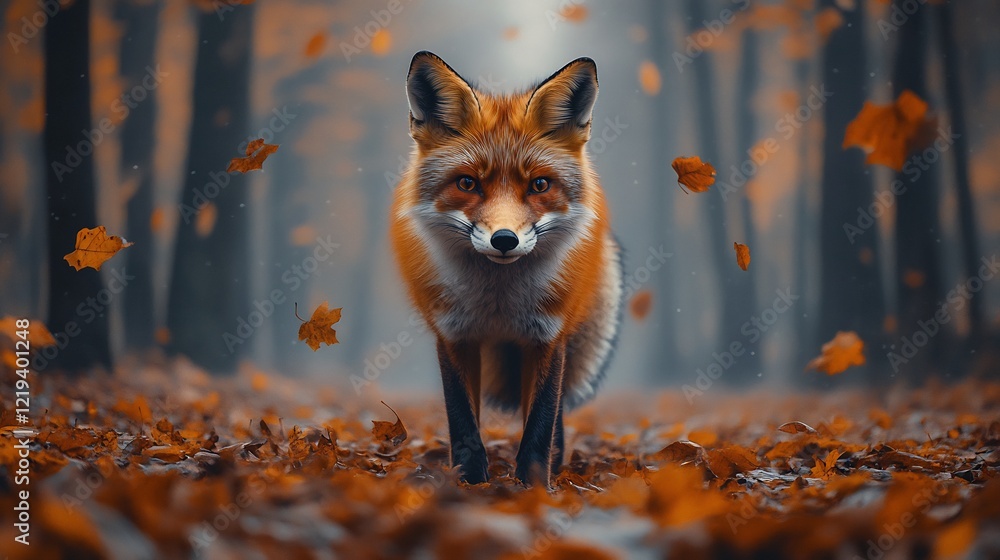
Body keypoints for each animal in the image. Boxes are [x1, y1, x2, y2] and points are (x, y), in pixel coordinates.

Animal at [390, 51, 624, 486]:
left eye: (539, 185)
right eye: (467, 183)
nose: (504, 240)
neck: (499, 302)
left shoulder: (548, 335)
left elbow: (541, 423)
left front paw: (533, 486)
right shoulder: (454, 334)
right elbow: (463, 421)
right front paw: (469, 481)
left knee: (558, 414)